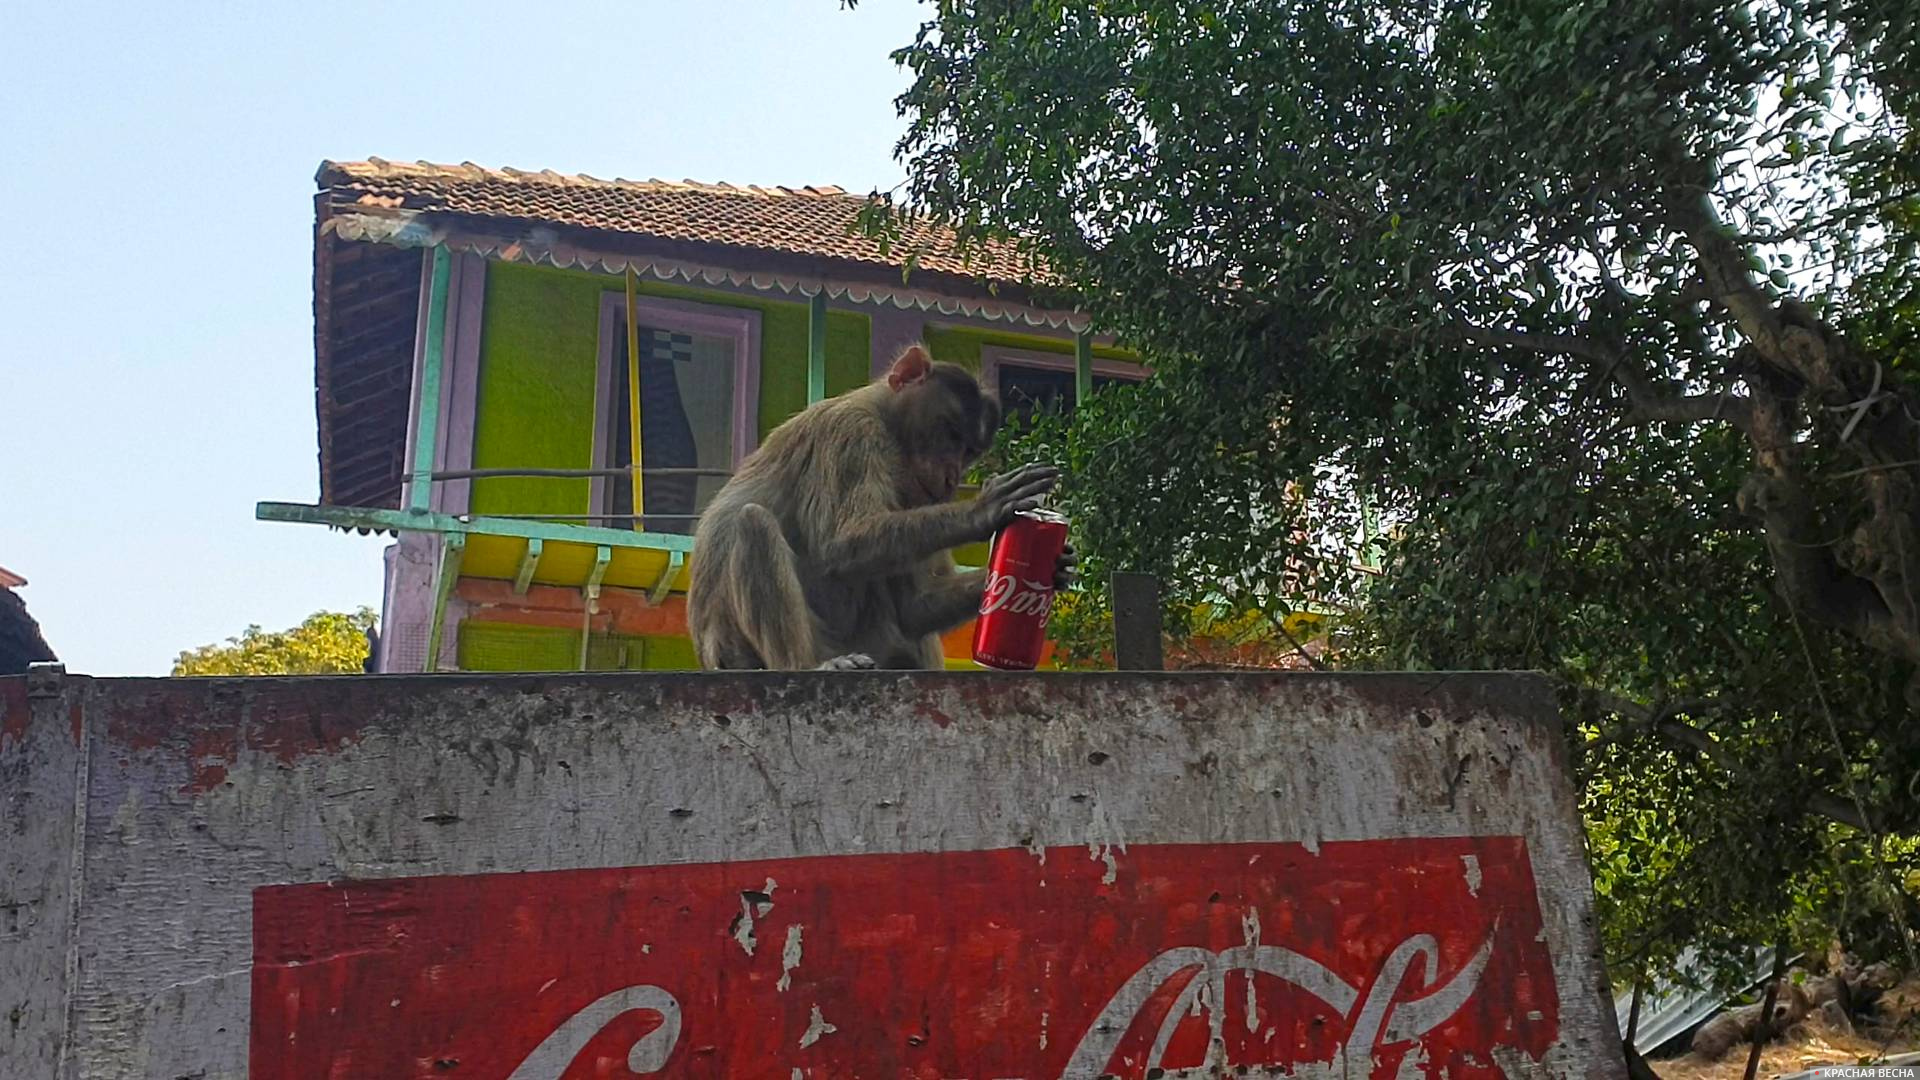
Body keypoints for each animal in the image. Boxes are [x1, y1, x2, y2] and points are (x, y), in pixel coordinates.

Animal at [691, 340, 1082, 668]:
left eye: (969, 450)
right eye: (951, 434)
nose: (951, 477)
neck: (883, 414)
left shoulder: (914, 490)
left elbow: (914, 609)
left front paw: (1058, 567)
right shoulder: (853, 433)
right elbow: (840, 543)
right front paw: (984, 510)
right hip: (740, 648)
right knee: (753, 524)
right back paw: (809, 666)